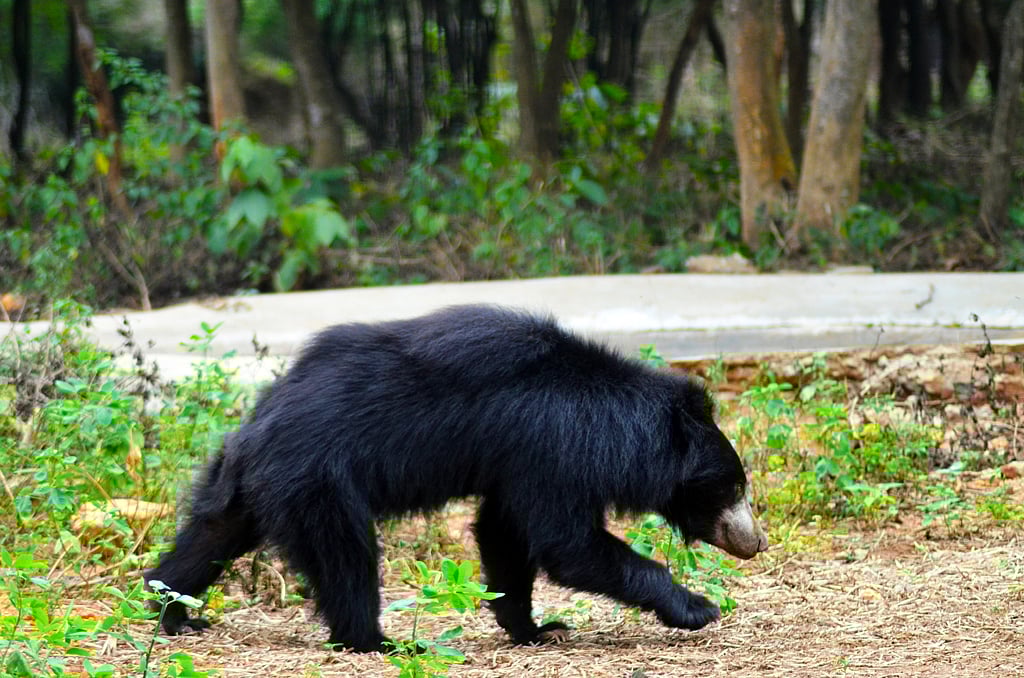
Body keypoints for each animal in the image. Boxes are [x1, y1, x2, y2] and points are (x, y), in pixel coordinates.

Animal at [145, 304, 767, 652]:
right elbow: (568, 545)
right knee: (346, 558)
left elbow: (504, 534)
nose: (757, 542)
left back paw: (170, 610)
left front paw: (538, 630)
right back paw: (380, 643)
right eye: (735, 489)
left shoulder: (515, 462)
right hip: (318, 482)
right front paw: (697, 608)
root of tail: (257, 428)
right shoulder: (552, 447)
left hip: (251, 487)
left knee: (210, 536)